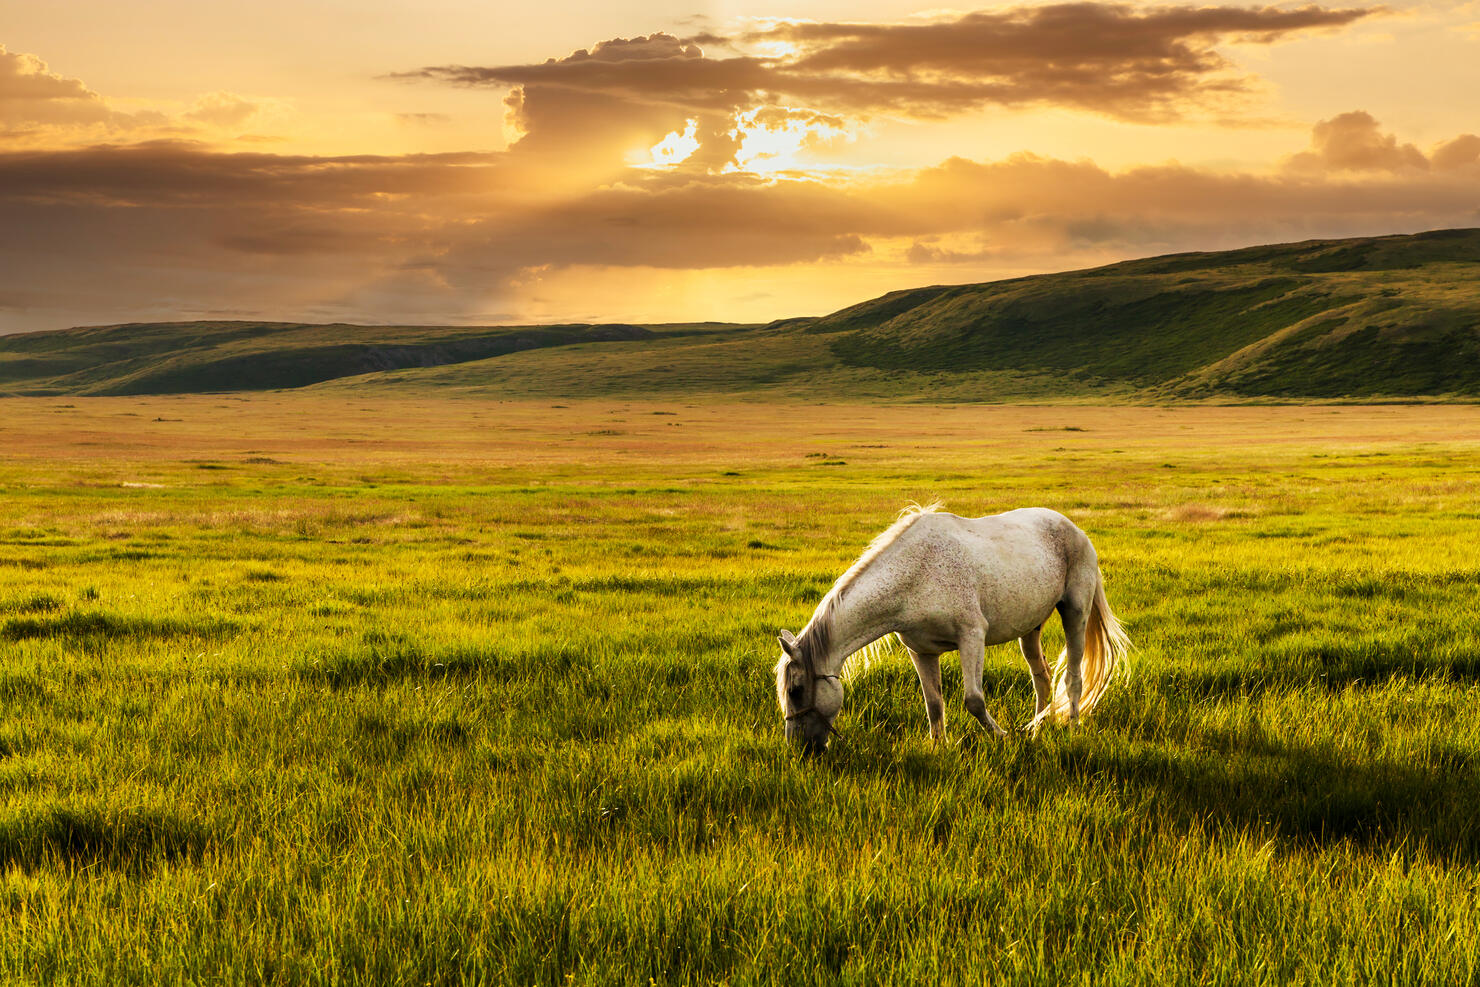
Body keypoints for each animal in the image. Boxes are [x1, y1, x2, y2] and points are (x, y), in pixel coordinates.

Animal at [781, 506, 1124, 751]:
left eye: (796, 691)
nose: (800, 750)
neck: (914, 575)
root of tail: (1074, 528)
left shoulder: (972, 636)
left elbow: (973, 700)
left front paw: (1001, 736)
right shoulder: (920, 651)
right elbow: (934, 703)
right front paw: (939, 747)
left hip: (1075, 613)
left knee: (1073, 676)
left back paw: (1072, 728)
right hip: (1031, 627)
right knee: (1042, 678)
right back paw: (1036, 729)